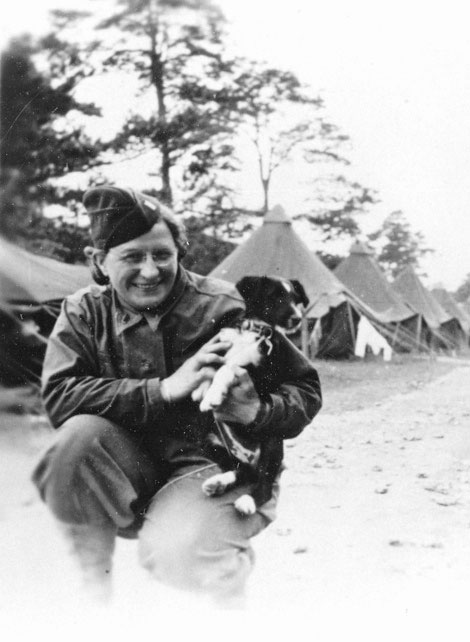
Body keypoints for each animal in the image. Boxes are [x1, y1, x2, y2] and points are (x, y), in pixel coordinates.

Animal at [191, 276, 308, 516]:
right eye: (275, 296)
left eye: (295, 298)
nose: (297, 318)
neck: (254, 331)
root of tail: (249, 456)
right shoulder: (220, 350)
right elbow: (212, 367)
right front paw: (202, 390)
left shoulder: (256, 372)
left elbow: (226, 369)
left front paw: (212, 396)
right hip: (210, 443)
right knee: (242, 471)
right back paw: (218, 483)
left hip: (272, 443)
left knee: (264, 485)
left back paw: (247, 501)